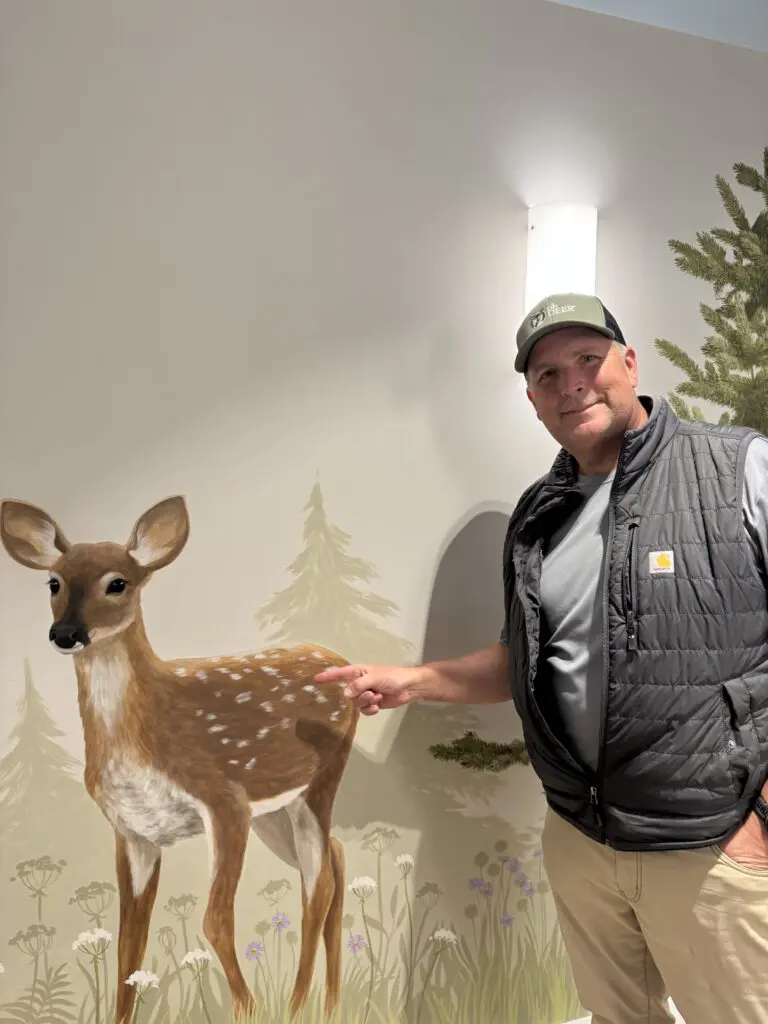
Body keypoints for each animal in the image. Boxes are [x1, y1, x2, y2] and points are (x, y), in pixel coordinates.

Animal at [0, 495, 359, 1024]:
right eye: (54, 582)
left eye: (118, 582)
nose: (65, 633)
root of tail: (343, 661)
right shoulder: (133, 830)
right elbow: (129, 940)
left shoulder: (223, 798)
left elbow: (215, 921)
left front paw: (247, 1007)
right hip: (275, 812)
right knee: (334, 857)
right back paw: (331, 1001)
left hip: (321, 779)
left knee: (319, 884)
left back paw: (297, 1006)